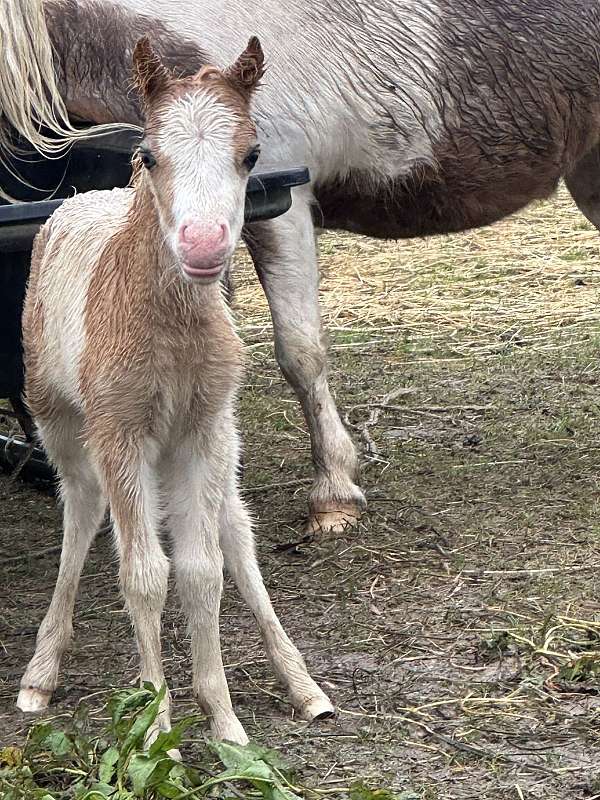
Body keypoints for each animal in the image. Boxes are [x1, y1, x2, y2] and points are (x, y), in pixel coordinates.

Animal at [16, 32, 332, 744]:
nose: (204, 243)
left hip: (216, 444)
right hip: (63, 422)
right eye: (149, 155)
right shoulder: (120, 432)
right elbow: (144, 574)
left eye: (251, 155)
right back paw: (41, 672)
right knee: (81, 509)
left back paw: (303, 685)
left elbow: (200, 569)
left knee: (236, 530)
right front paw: (156, 724)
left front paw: (223, 719)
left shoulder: (201, 430)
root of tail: (78, 201)